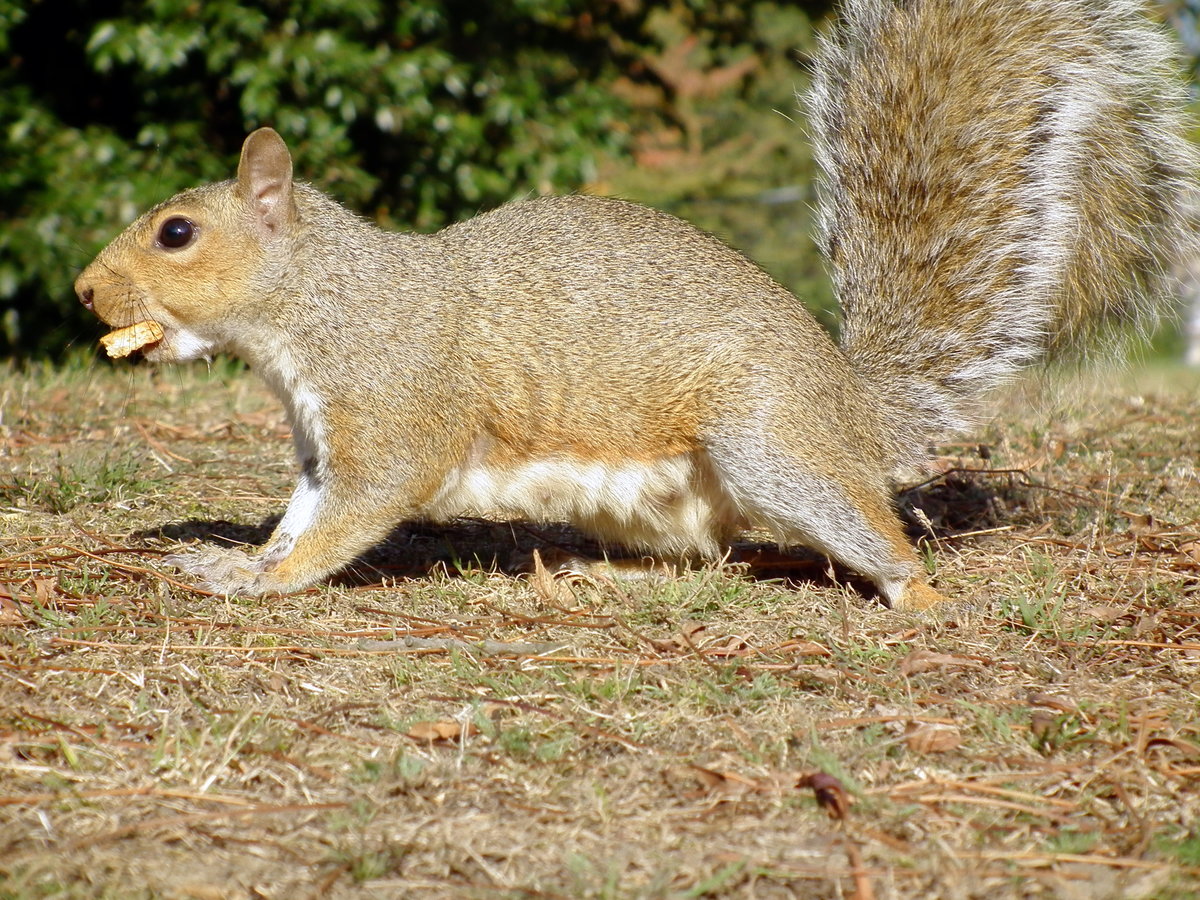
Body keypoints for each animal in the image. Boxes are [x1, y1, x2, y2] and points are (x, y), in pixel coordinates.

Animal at [74, 0, 1196, 610]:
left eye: (177, 234)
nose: (86, 291)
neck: (319, 300)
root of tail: (852, 405)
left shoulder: (392, 415)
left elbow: (348, 519)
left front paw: (266, 582)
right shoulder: (320, 443)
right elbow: (301, 510)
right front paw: (230, 560)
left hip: (766, 442)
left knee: (866, 536)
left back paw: (914, 592)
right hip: (669, 501)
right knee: (715, 557)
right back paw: (603, 577)